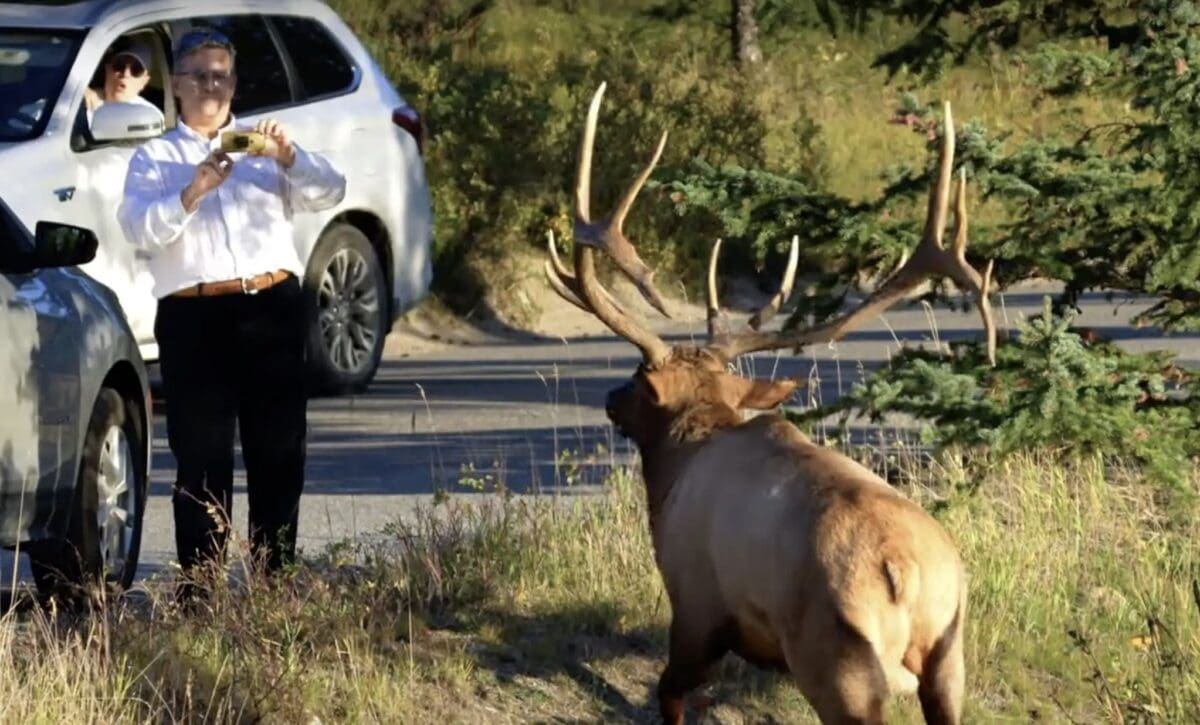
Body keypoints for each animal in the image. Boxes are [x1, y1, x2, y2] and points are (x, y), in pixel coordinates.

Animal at [543, 82, 998, 724]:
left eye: (637, 375)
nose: (610, 399)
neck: (672, 477)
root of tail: (905, 573)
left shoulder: (696, 605)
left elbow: (670, 694)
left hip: (838, 662)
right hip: (950, 654)